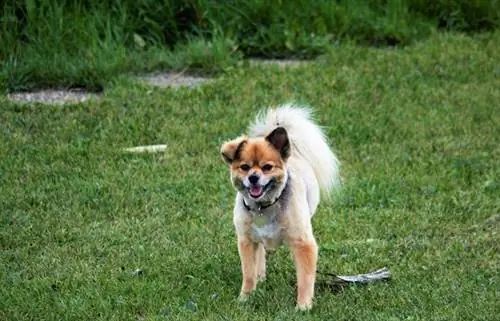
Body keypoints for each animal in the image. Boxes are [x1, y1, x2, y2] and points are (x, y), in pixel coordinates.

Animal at [222, 104, 342, 308]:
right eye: (245, 167)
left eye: (267, 167)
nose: (253, 177)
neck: (264, 206)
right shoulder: (246, 241)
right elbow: (248, 274)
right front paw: (245, 298)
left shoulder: (303, 244)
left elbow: (305, 278)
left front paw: (303, 306)